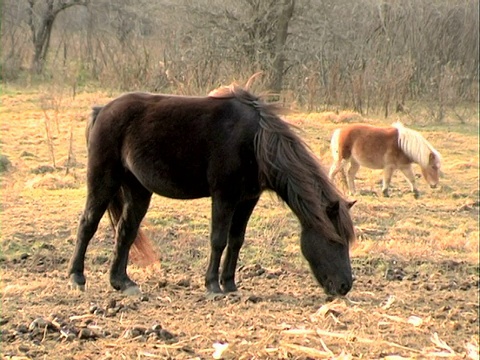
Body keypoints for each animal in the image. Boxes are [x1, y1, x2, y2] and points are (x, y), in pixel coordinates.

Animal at [67, 82, 356, 298]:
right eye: (335, 240)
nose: (345, 286)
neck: (255, 141)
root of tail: (102, 109)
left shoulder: (248, 199)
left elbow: (237, 240)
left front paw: (230, 284)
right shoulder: (224, 196)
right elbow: (218, 239)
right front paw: (213, 286)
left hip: (138, 190)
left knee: (126, 231)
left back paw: (122, 282)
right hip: (103, 181)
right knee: (88, 223)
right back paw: (77, 277)